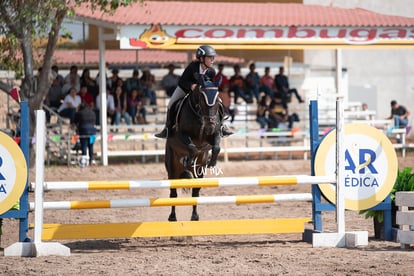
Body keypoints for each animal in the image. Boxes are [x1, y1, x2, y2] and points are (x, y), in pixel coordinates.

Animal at [165, 74, 223, 221]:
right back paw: (172, 217)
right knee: (173, 193)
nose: (210, 125)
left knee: (195, 192)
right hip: (172, 169)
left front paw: (212, 162)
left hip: (199, 172)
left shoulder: (214, 134)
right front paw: (189, 159)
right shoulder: (181, 134)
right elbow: (192, 147)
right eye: (202, 98)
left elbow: (216, 147)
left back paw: (195, 216)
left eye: (217, 98)